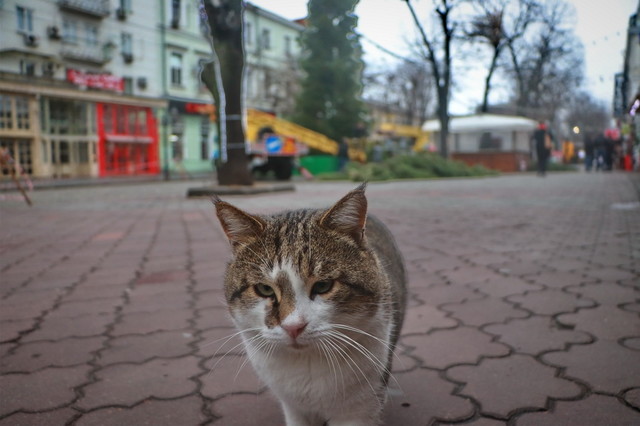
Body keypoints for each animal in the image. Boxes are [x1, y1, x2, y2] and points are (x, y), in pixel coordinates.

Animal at [214, 184, 404, 426]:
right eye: (264, 289)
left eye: (323, 285)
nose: (293, 327)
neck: (307, 364)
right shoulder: (293, 407)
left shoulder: (360, 408)